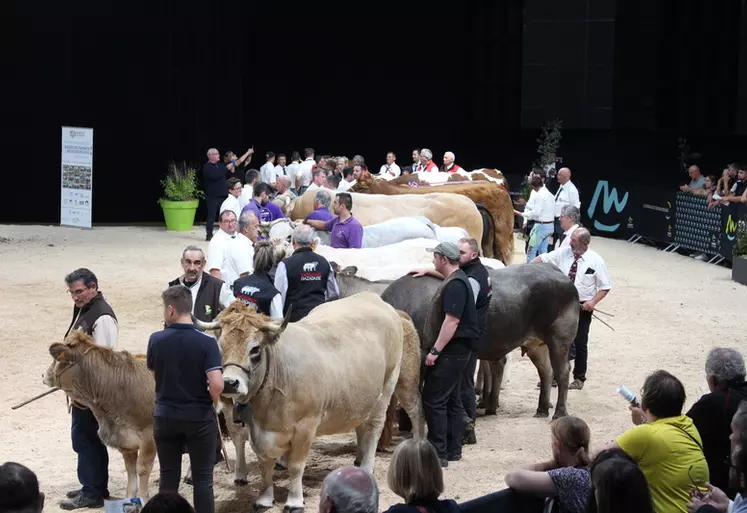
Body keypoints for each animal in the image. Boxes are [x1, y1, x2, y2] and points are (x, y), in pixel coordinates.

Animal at [42, 330, 158, 498]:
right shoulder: (126, 441)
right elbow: (130, 474)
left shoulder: (149, 436)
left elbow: (142, 471)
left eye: (56, 359)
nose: (44, 375)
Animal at [193, 298, 424, 510]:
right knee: (362, 426)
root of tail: (375, 299)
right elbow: (264, 463)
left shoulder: (306, 426)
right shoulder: (257, 431)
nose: (229, 383)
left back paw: (370, 465)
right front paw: (265, 498)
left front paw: (295, 501)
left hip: (389, 386)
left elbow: (296, 466)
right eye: (220, 346)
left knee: (379, 426)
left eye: (255, 349)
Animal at [380, 262, 580, 418]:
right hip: (537, 345)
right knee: (545, 372)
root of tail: (556, 271)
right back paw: (541, 409)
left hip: (559, 342)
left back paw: (559, 413)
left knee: (562, 373)